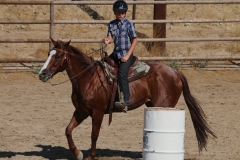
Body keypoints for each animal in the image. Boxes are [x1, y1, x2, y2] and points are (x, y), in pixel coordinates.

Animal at [38, 38, 217, 159]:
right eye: (48, 54)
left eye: (58, 56)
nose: (42, 74)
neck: (89, 78)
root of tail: (175, 72)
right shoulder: (81, 111)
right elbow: (68, 130)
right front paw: (77, 153)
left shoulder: (97, 112)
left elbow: (94, 134)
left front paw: (90, 155)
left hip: (165, 106)